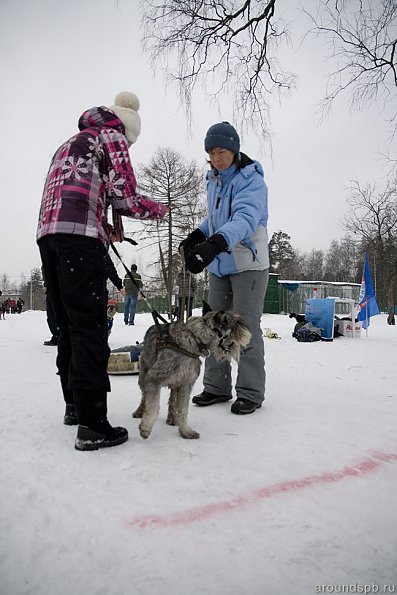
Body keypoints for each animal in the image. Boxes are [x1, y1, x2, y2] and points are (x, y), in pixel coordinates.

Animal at [133, 310, 251, 440]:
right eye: (237, 322)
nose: (248, 332)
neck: (195, 340)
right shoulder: (154, 378)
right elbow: (153, 406)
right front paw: (145, 428)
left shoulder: (186, 384)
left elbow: (183, 410)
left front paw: (186, 431)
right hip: (144, 375)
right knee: (144, 396)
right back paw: (140, 411)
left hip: (176, 383)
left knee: (172, 399)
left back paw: (172, 418)